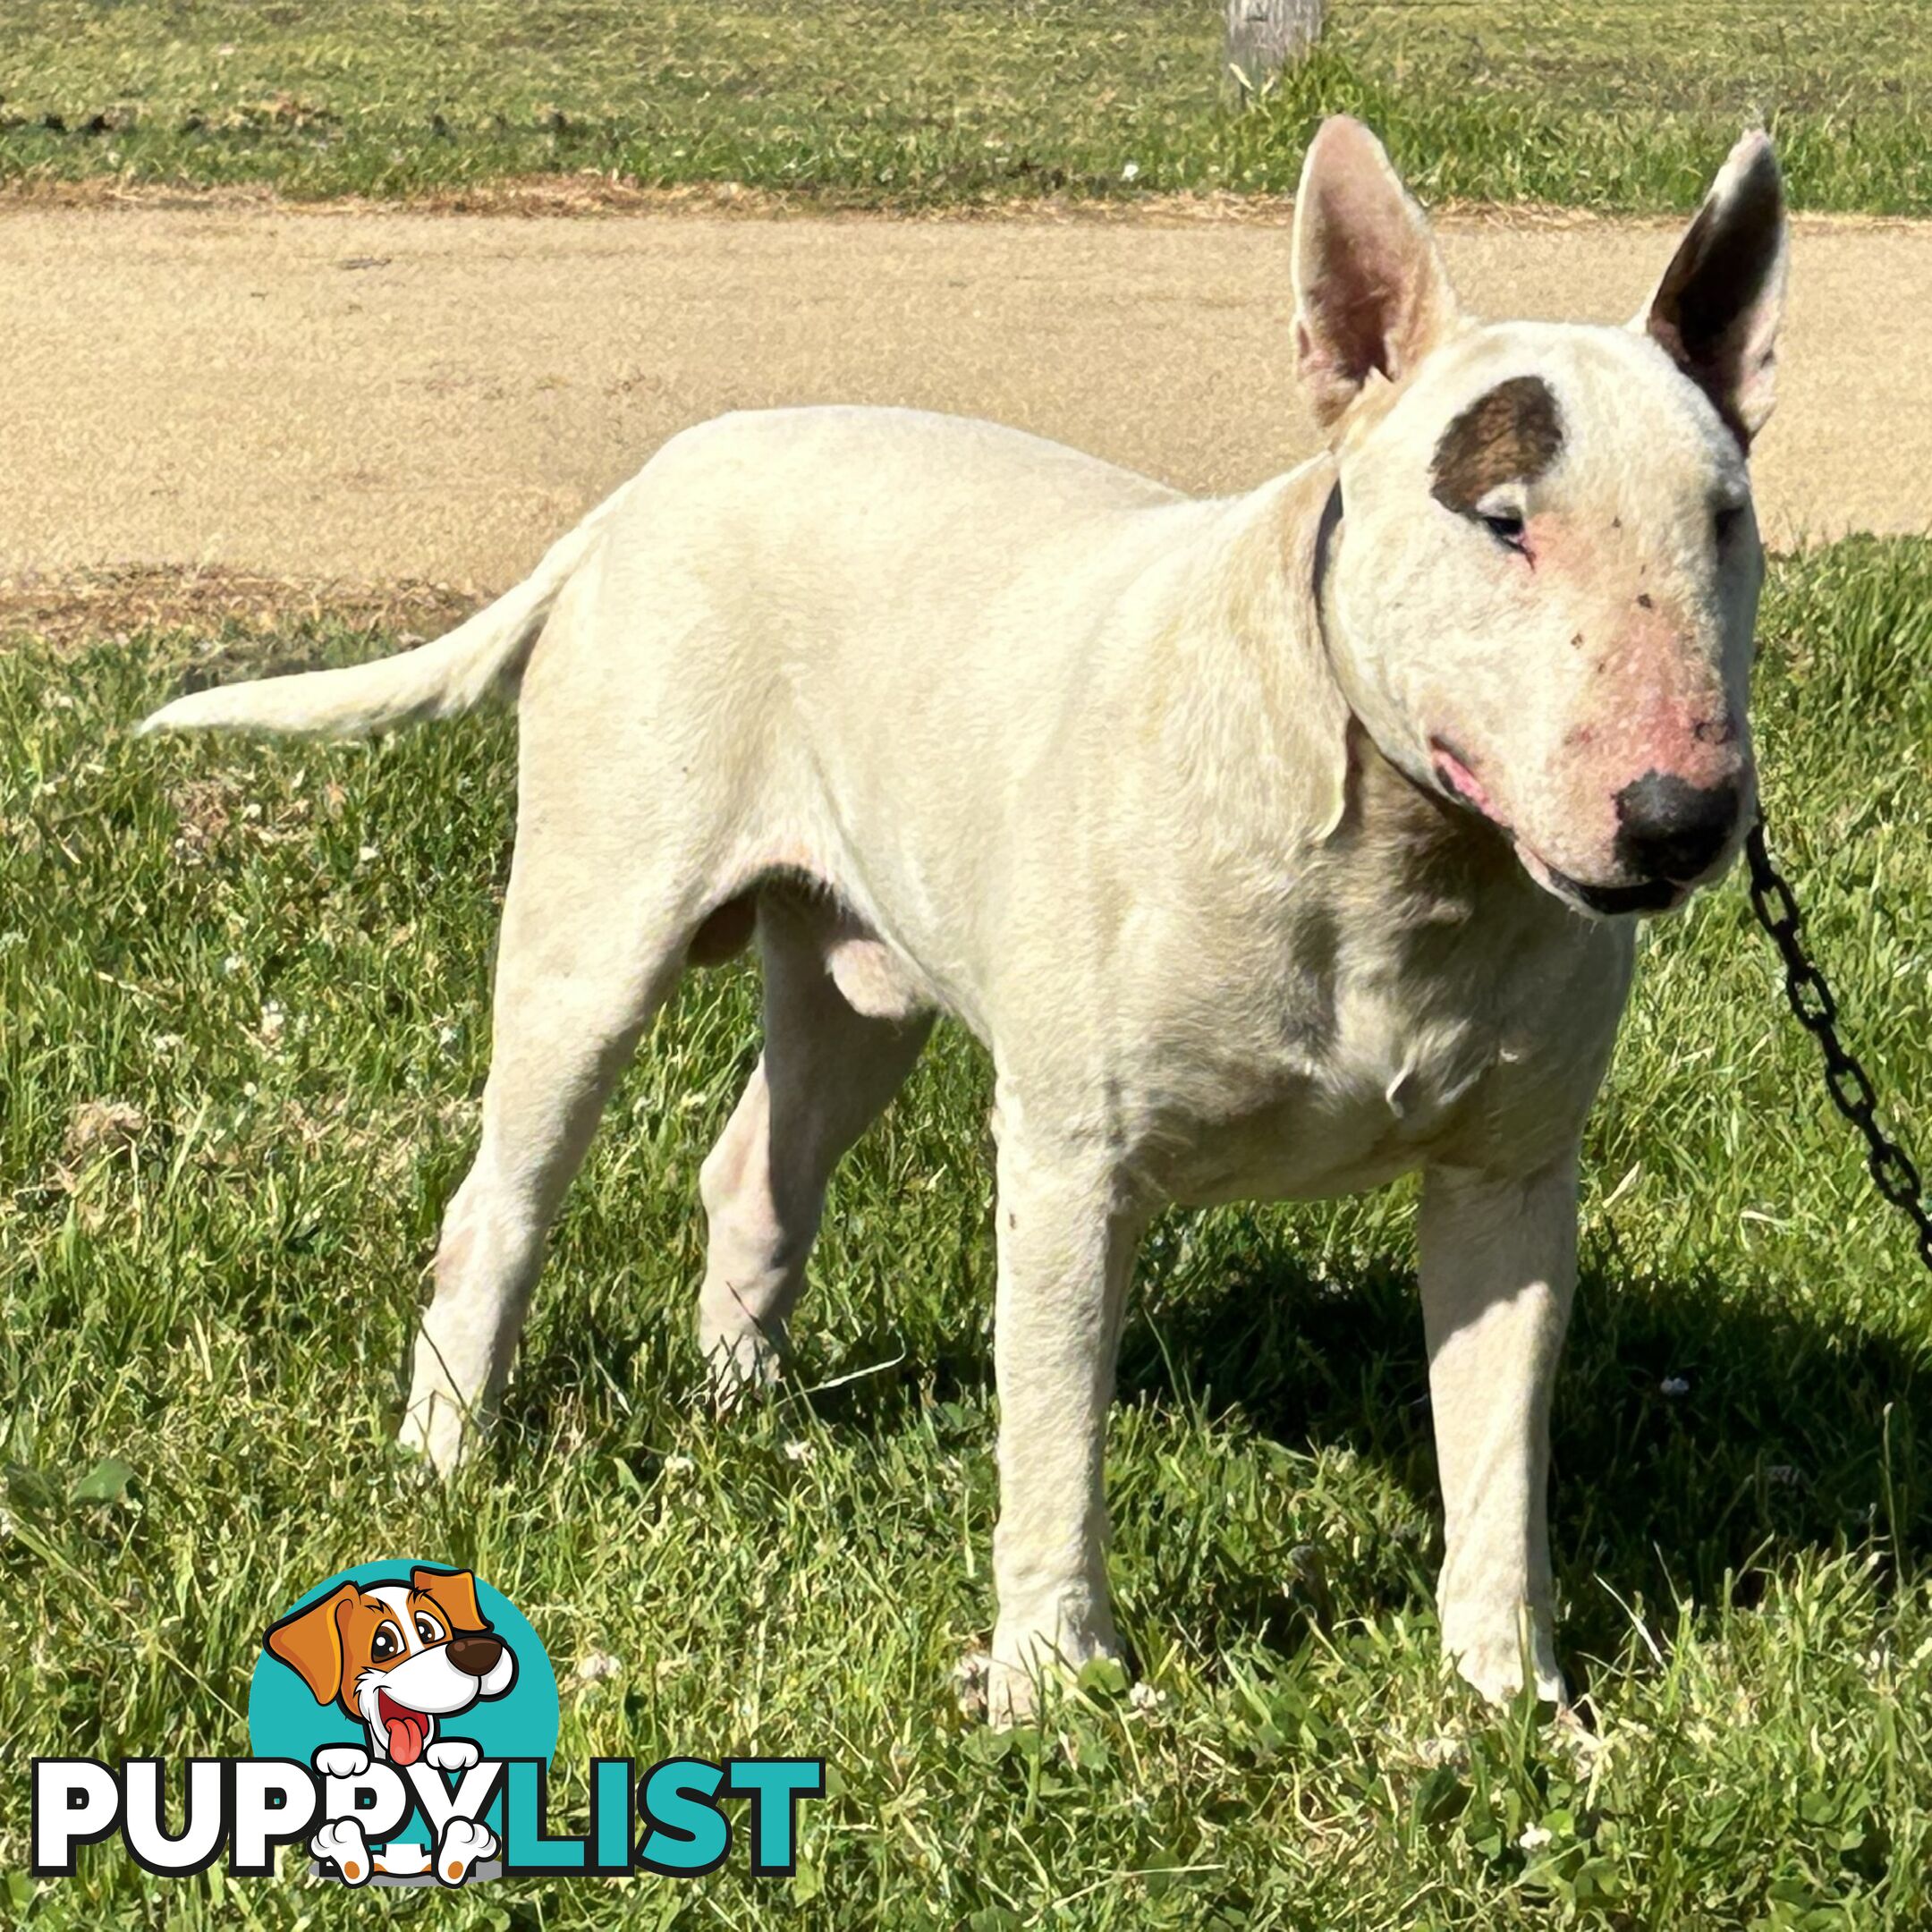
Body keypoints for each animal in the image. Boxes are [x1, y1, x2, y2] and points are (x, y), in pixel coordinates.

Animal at [142, 116, 1784, 1723]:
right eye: (1502, 521)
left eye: (1727, 522)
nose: (1683, 821)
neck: (1389, 851)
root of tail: (644, 488)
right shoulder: (1070, 1167)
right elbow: (1054, 1437)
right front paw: (1055, 1683)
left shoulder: (1510, 1183)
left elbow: (1496, 1462)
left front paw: (1511, 1698)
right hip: (594, 934)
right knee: (503, 1198)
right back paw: (444, 1460)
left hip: (856, 981)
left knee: (757, 1169)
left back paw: (750, 1419)